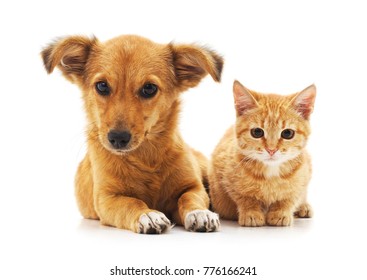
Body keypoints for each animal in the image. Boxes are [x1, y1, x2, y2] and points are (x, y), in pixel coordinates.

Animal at [41, 35, 223, 234]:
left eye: (149, 88)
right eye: (102, 86)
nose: (118, 138)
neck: (145, 158)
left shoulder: (193, 186)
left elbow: (190, 197)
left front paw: (199, 212)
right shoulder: (107, 199)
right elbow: (131, 202)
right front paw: (147, 215)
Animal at [210, 80, 316, 225]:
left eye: (287, 133)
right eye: (257, 132)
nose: (271, 150)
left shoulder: (304, 175)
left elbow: (291, 196)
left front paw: (281, 212)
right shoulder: (222, 171)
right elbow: (243, 196)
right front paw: (251, 213)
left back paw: (304, 207)